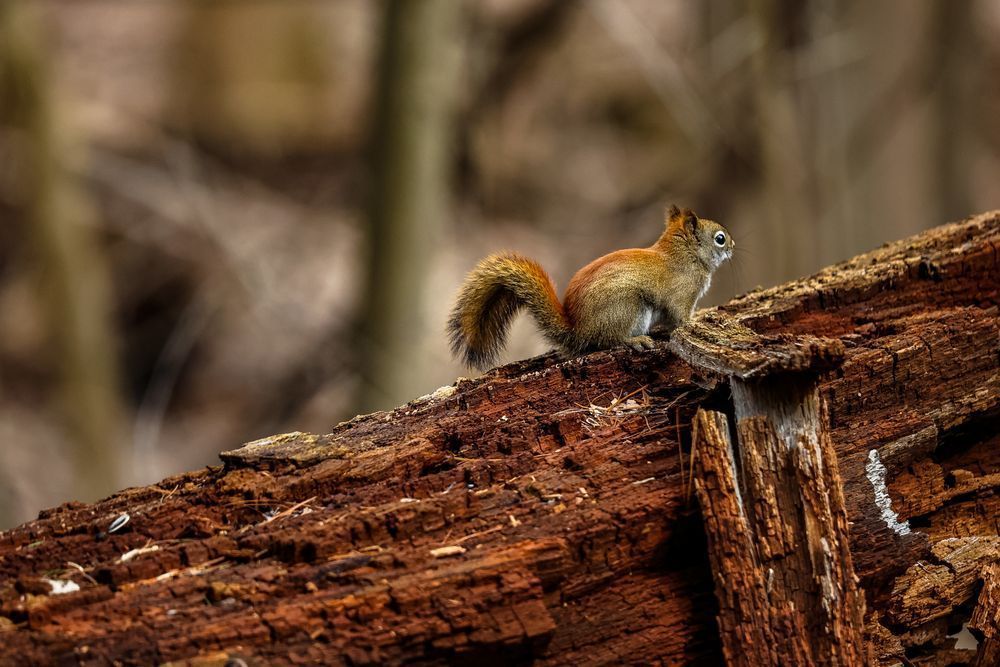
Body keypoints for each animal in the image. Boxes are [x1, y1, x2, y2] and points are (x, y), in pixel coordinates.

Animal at [448, 205, 734, 370]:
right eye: (719, 239)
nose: (732, 246)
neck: (683, 255)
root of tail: (580, 331)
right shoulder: (681, 295)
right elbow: (680, 316)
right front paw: (696, 321)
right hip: (628, 307)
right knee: (609, 341)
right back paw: (635, 340)